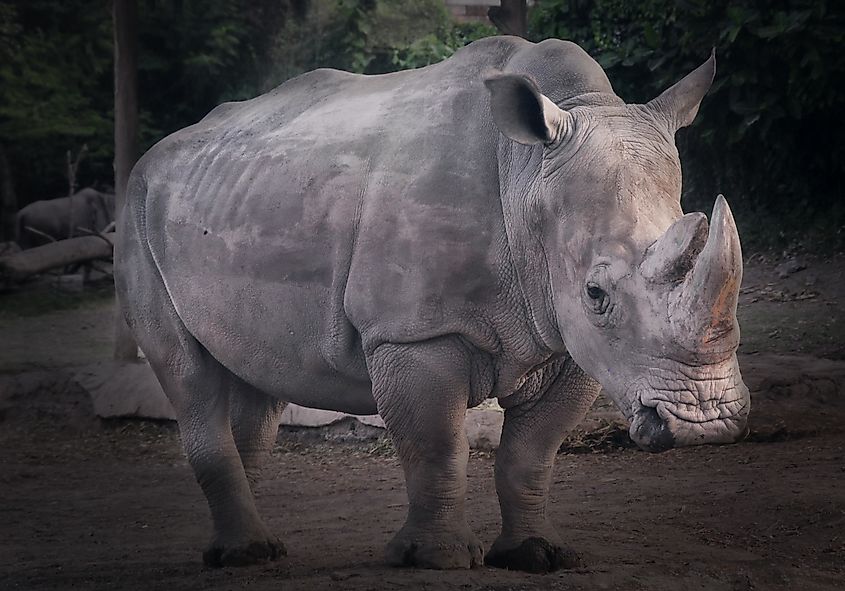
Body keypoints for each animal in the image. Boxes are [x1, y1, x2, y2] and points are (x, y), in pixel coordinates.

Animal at [116, 36, 750, 573]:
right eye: (596, 294)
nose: (706, 425)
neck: (526, 177)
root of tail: (157, 153)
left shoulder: (569, 341)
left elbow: (532, 453)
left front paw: (537, 555)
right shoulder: (413, 331)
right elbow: (437, 446)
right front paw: (437, 559)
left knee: (255, 375)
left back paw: (255, 551)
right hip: (136, 208)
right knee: (187, 373)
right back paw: (242, 553)